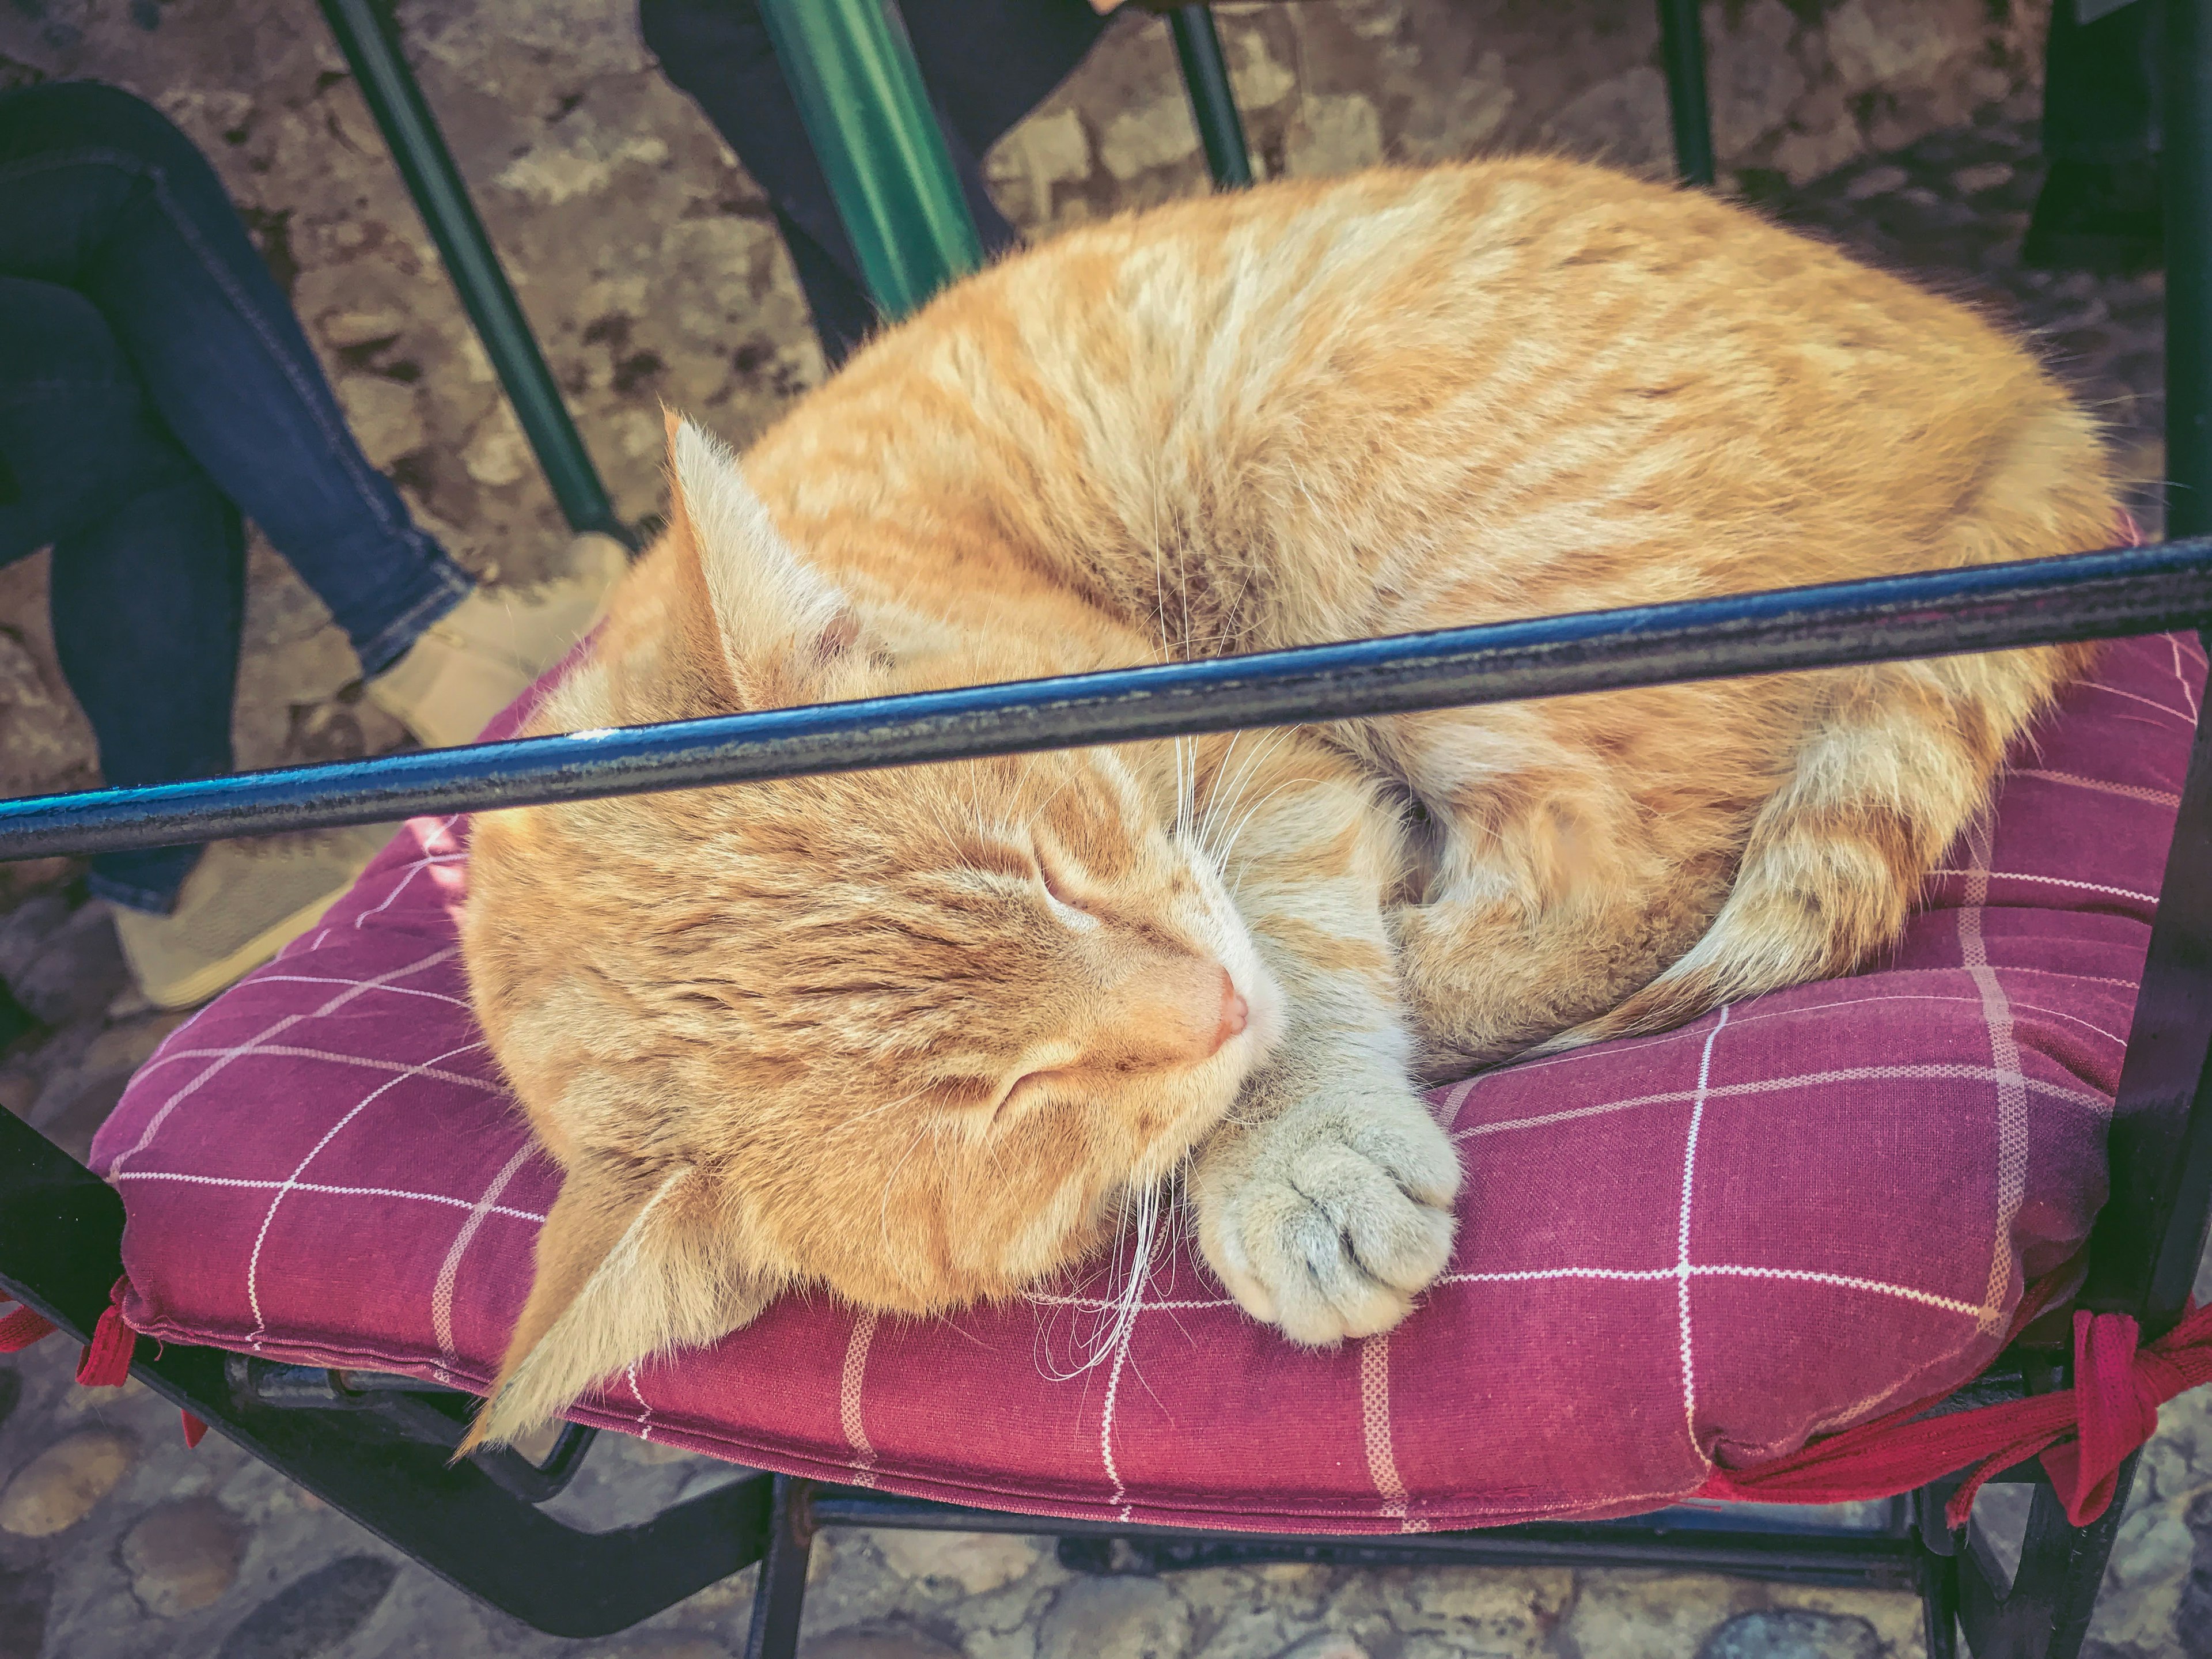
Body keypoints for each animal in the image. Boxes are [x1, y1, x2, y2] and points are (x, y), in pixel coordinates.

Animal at [457, 159, 2115, 1451]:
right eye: (1008, 1100)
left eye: (1056, 866)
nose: (1210, 1009)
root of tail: (2018, 383)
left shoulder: (1253, 762)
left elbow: (1304, 947)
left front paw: (1291, 1145)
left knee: (1636, 871)